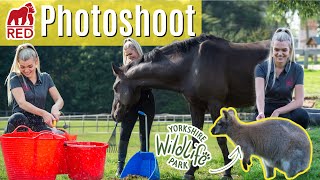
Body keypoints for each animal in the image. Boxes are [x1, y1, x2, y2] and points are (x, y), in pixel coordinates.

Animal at [111, 33, 268, 179]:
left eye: (115, 87)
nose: (114, 115)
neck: (193, 64)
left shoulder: (215, 105)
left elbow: (221, 139)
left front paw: (227, 173)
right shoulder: (195, 106)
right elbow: (195, 138)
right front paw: (190, 171)